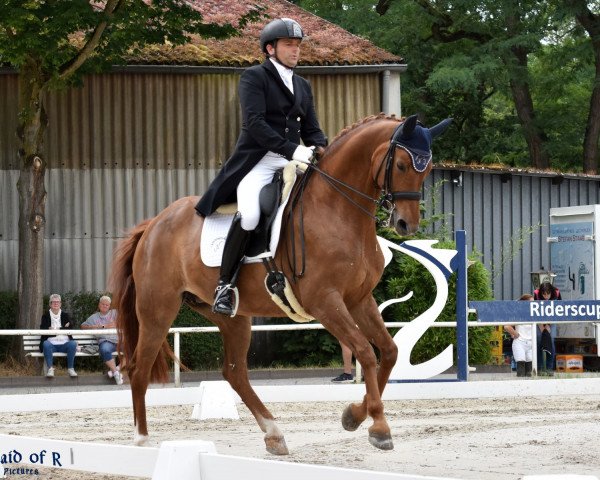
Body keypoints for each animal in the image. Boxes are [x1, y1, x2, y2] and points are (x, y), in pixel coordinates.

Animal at [109, 111, 450, 454]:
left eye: (428, 168)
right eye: (402, 165)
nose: (406, 224)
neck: (337, 209)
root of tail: (153, 224)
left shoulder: (359, 299)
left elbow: (389, 352)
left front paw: (354, 416)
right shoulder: (325, 301)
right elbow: (366, 353)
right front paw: (378, 427)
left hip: (233, 317)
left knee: (234, 372)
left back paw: (274, 434)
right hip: (157, 310)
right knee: (139, 369)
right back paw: (141, 438)